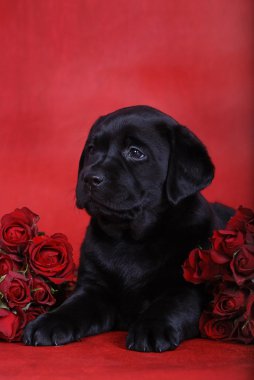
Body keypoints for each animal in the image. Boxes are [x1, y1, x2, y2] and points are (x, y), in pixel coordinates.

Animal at [23, 105, 234, 352]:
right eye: (92, 150)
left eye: (135, 152)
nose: (89, 177)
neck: (131, 239)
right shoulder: (93, 288)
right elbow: (72, 306)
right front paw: (49, 321)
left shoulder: (188, 287)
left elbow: (170, 305)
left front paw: (151, 328)